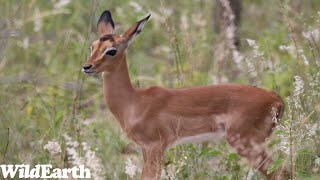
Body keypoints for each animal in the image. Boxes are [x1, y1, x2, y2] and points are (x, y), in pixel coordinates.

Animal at [82, 10, 284, 180]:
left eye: (111, 50)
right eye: (92, 46)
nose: (87, 67)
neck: (134, 102)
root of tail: (276, 99)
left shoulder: (155, 146)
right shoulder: (146, 149)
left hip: (246, 143)